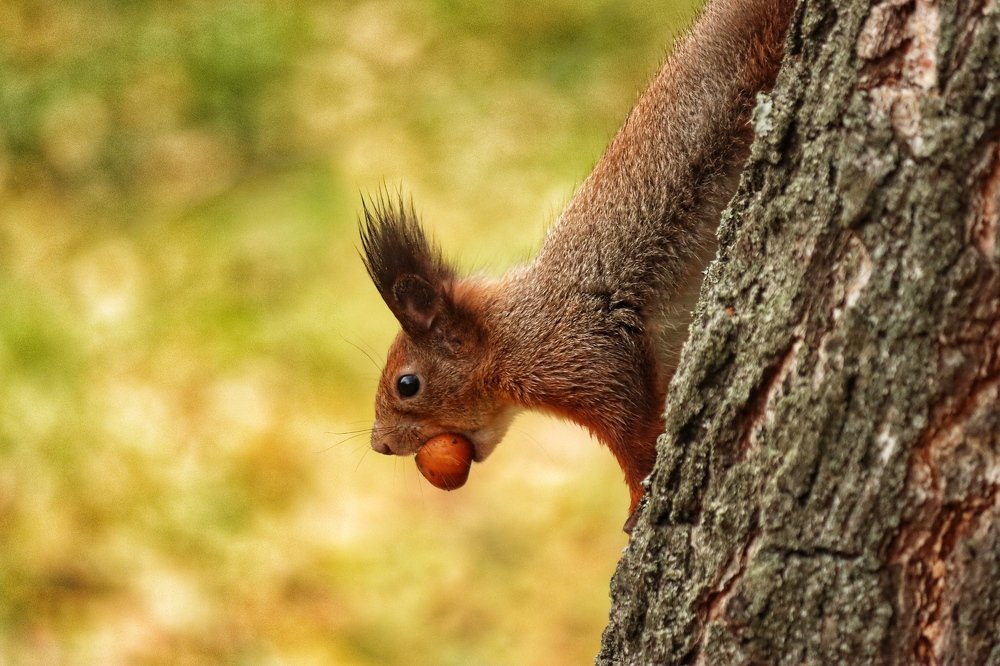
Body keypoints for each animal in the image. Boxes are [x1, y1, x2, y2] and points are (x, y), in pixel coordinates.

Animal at [359, 0, 795, 531]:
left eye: (407, 384)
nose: (380, 444)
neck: (511, 334)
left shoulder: (584, 356)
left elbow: (633, 432)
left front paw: (635, 505)